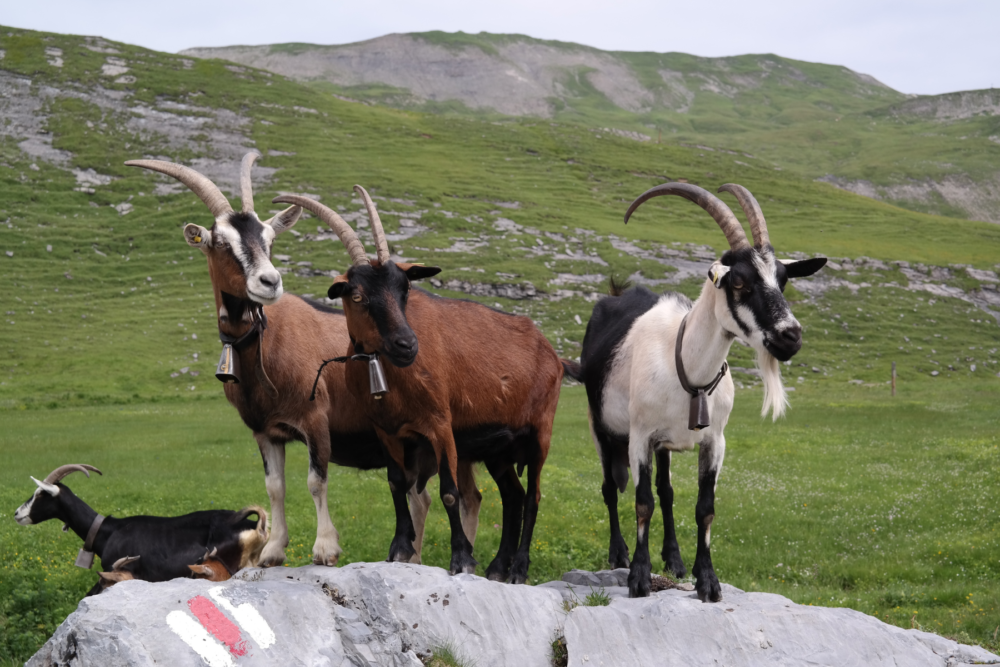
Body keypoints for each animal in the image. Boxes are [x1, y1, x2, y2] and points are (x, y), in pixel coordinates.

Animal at [124, 154, 481, 567]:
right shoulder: (265, 430)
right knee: (426, 496)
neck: (268, 344)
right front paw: (273, 549)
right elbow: (275, 486)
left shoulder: (315, 419)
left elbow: (315, 480)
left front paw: (325, 548)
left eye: (269, 239)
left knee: (458, 496)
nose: (269, 281)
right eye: (221, 242)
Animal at [273, 188, 563, 583]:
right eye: (357, 295)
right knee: (513, 495)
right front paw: (400, 550)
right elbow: (397, 483)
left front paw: (461, 559)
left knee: (532, 497)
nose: (407, 344)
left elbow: (450, 493)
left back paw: (518, 569)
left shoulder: (441, 425)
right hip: (498, 447)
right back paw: (498, 567)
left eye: (405, 288)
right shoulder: (387, 430)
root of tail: (551, 352)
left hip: (539, 432)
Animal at [562, 182, 826, 600]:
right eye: (739, 281)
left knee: (667, 492)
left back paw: (674, 559)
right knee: (609, 488)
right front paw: (638, 578)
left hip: (664, 444)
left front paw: (707, 581)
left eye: (782, 279)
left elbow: (704, 508)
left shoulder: (714, 441)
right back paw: (618, 553)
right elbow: (641, 502)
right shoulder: (639, 436)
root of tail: (616, 293)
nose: (790, 337)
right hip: (601, 426)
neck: (686, 366)